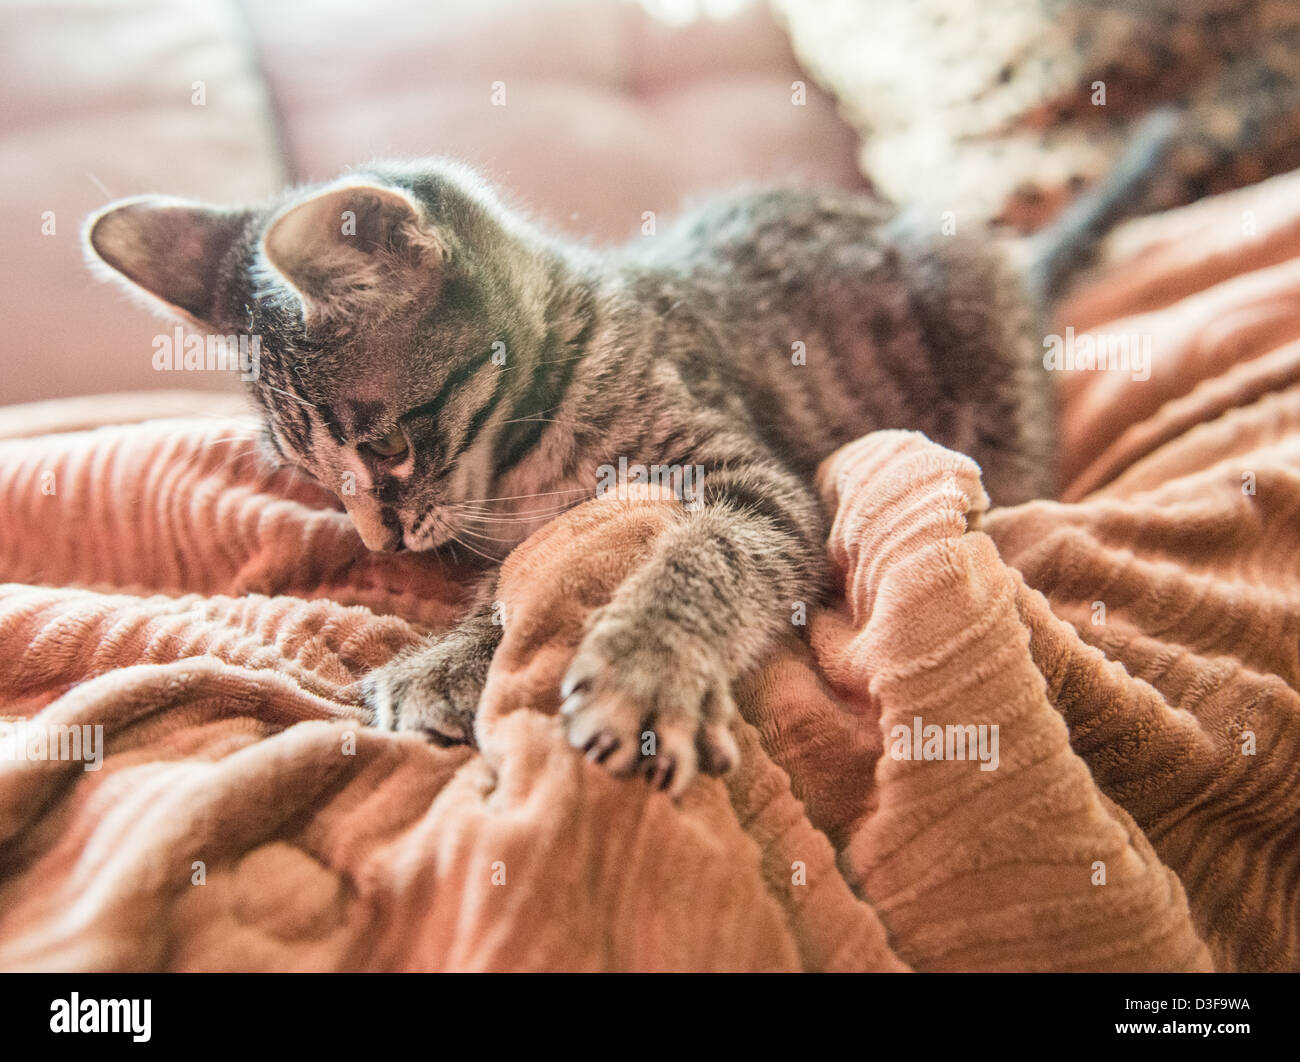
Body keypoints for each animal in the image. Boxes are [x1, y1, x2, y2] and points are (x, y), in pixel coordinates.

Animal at [81, 141, 1154, 795]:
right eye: (311, 477)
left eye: (384, 448)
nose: (379, 540)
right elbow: (518, 586)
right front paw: (458, 655)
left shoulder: (753, 483)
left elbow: (706, 555)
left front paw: (647, 664)